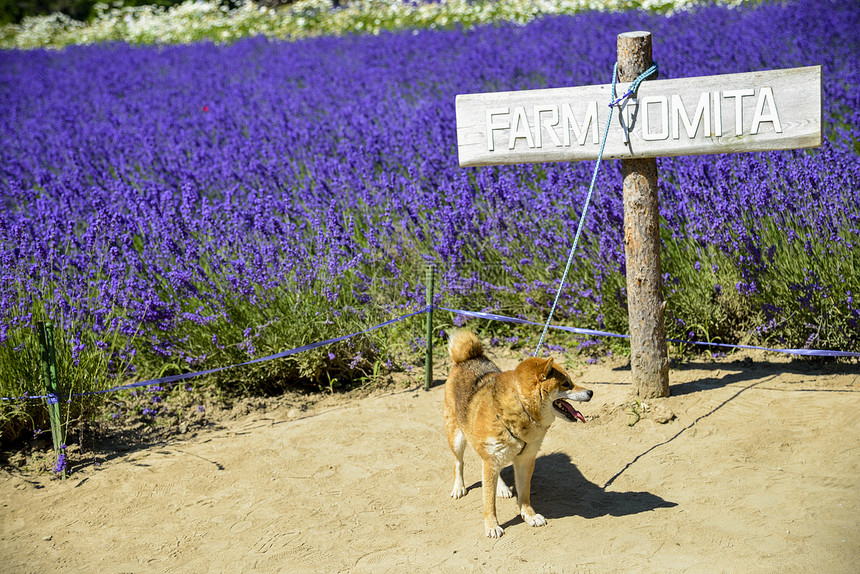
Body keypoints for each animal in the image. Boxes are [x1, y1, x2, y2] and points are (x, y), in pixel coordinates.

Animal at [444, 330, 592, 536]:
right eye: (566, 383)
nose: (591, 392)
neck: (521, 409)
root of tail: (468, 358)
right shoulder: (491, 460)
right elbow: (489, 500)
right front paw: (492, 525)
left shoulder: (525, 460)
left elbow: (524, 494)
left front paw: (529, 515)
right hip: (457, 438)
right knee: (459, 463)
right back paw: (459, 487)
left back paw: (502, 487)